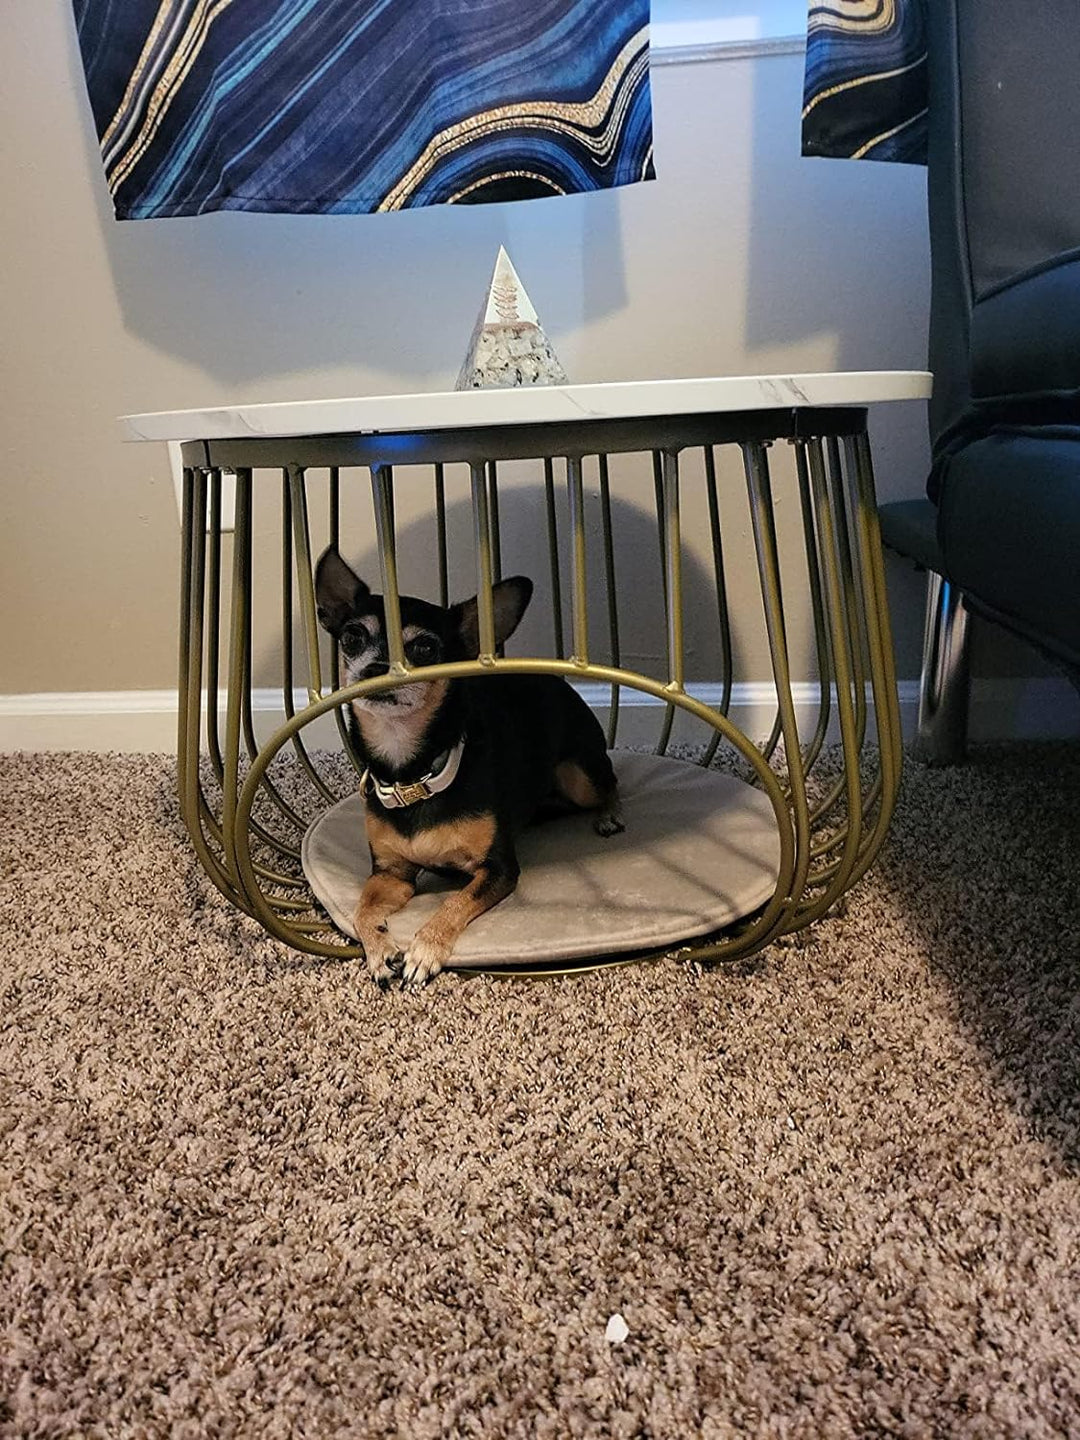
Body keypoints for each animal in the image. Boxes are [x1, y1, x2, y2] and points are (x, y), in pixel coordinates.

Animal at [312, 544, 624, 984]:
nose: (374, 669)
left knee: (611, 781)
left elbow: (453, 903)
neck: (414, 774)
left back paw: (610, 815)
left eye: (425, 649)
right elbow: (362, 908)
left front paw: (424, 949)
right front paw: (380, 952)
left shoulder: (497, 870)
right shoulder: (391, 873)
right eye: (353, 637)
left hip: (577, 775)